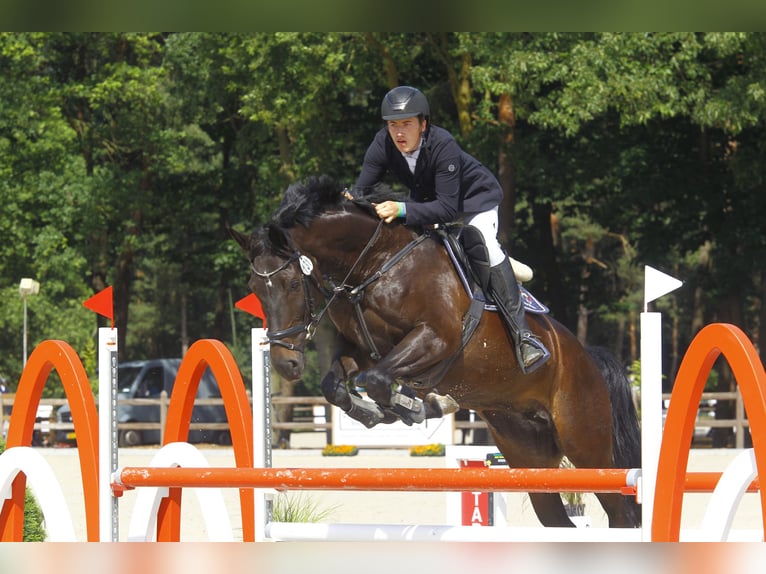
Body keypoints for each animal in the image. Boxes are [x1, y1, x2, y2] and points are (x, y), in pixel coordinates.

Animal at [231, 176, 644, 532]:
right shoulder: (365, 350)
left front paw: (412, 405)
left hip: (586, 445)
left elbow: (378, 379)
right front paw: (379, 410)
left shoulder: (435, 339)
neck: (375, 263)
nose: (286, 363)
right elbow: (338, 384)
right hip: (528, 453)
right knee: (558, 520)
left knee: (621, 513)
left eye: (290, 283)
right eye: (255, 287)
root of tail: (587, 357)